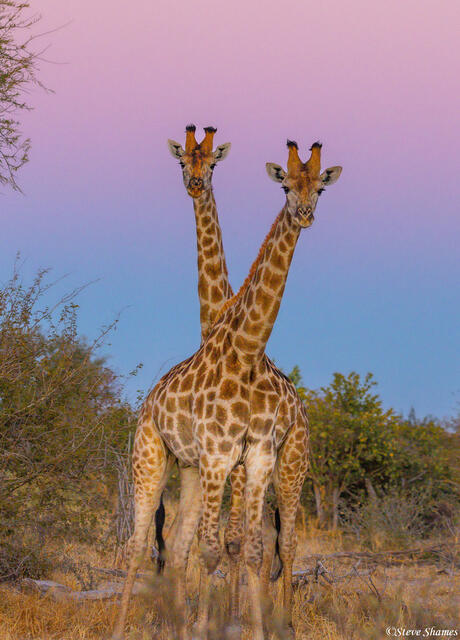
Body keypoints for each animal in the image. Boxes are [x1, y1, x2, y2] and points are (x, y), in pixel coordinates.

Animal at [111, 139, 342, 640]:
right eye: (285, 185)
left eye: (320, 188)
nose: (305, 213)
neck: (248, 351)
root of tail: (146, 404)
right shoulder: (219, 456)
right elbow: (217, 547)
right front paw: (212, 626)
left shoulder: (255, 455)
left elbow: (248, 548)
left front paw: (245, 627)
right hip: (153, 457)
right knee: (143, 543)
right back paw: (125, 628)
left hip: (283, 464)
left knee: (276, 543)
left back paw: (282, 623)